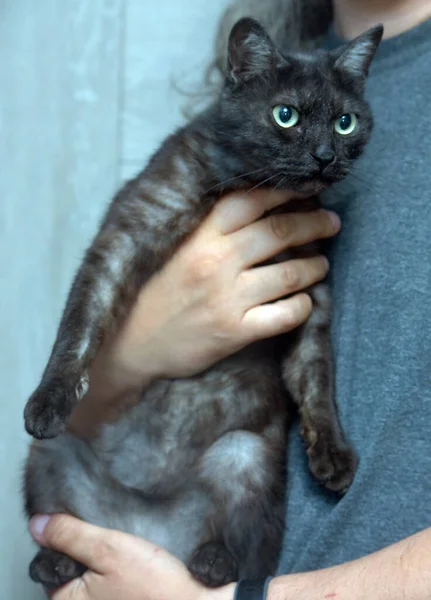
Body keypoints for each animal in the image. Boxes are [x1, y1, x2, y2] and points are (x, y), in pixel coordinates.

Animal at [22, 17, 382, 592]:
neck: (249, 189)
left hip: (245, 457)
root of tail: (146, 530)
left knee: (240, 551)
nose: (325, 156)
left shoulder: (308, 296)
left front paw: (332, 455)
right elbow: (82, 319)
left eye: (345, 123)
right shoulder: (126, 234)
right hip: (53, 455)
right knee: (58, 533)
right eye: (286, 115)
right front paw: (49, 398)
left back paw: (212, 561)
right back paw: (53, 561)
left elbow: (317, 380)